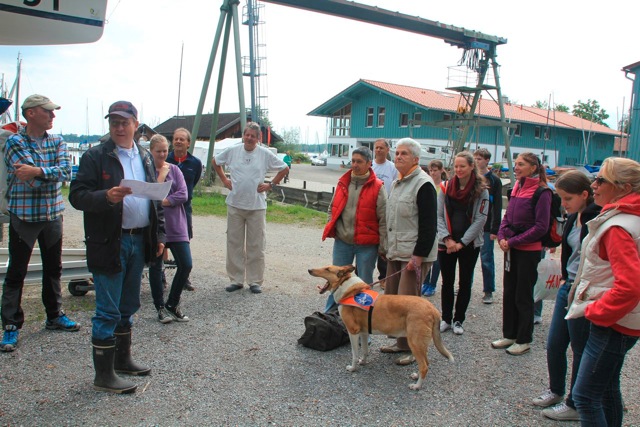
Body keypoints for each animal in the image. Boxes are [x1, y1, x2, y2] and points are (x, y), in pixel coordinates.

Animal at [308, 264, 452, 392]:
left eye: (327, 269)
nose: (309, 270)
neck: (350, 290)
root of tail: (433, 309)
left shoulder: (353, 331)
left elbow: (354, 353)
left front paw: (353, 368)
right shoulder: (364, 332)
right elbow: (365, 350)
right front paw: (363, 362)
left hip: (415, 342)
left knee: (424, 366)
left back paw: (416, 386)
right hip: (419, 343)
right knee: (426, 363)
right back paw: (416, 376)